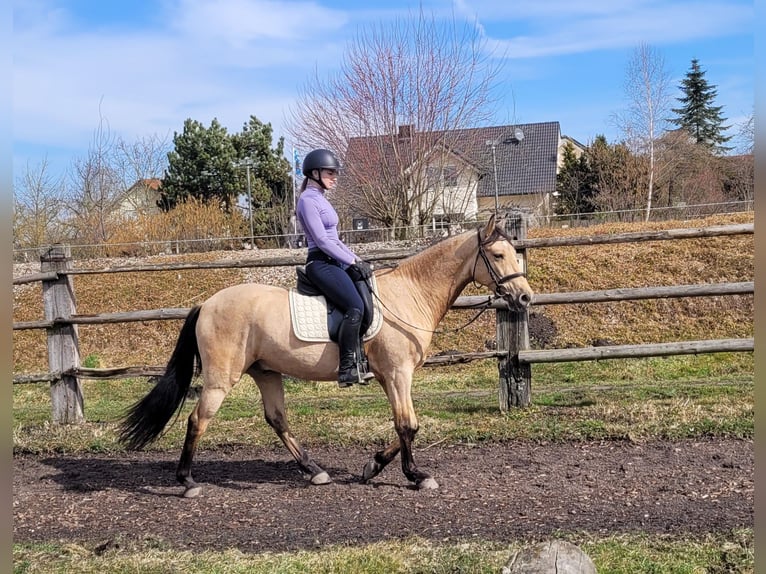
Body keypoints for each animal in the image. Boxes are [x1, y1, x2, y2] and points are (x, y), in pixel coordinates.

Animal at [118, 214, 536, 498]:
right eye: (498, 254)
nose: (525, 297)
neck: (410, 293)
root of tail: (206, 304)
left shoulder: (389, 377)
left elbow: (403, 426)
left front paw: (373, 466)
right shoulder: (398, 373)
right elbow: (408, 425)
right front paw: (416, 475)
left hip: (265, 372)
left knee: (277, 419)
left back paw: (313, 470)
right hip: (223, 378)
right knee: (197, 421)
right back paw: (188, 481)